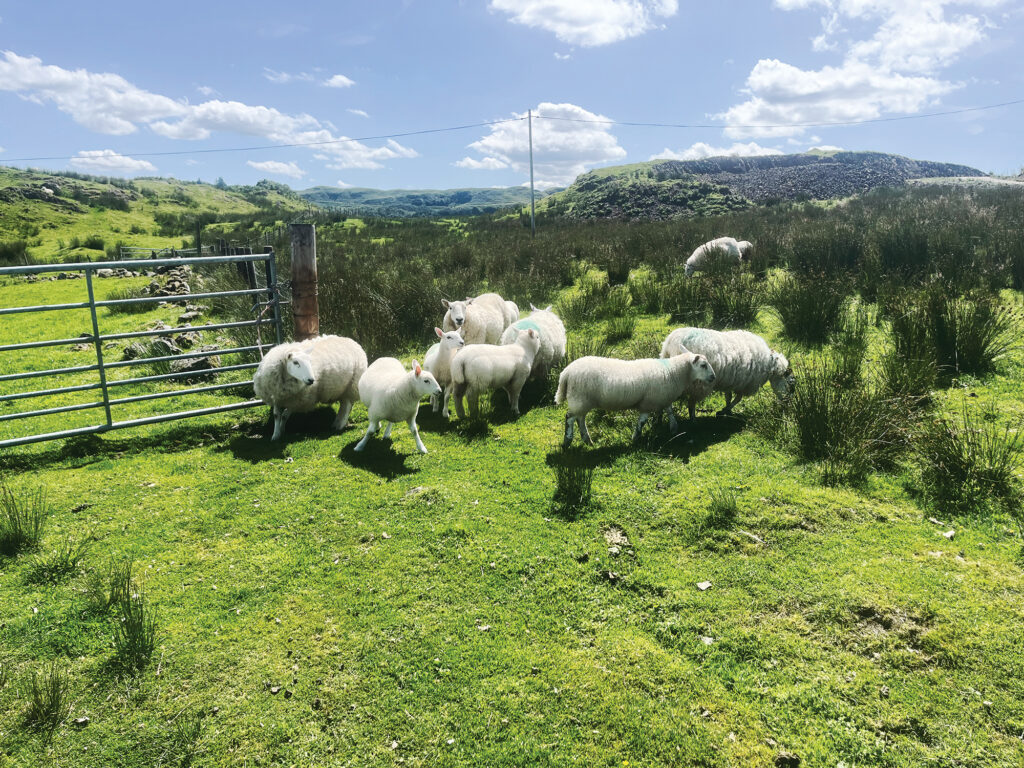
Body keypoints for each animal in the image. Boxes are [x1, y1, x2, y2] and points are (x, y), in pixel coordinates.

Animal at [555, 353, 716, 447]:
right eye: (703, 365)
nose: (713, 377)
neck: (673, 372)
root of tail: (566, 372)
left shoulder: (662, 398)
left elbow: (669, 411)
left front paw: (674, 428)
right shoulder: (648, 403)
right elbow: (642, 422)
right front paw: (635, 438)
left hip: (582, 401)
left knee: (580, 419)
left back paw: (587, 440)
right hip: (580, 399)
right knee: (569, 417)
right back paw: (567, 441)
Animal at [660, 327, 794, 419]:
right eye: (791, 385)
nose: (787, 405)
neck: (771, 364)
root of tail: (670, 343)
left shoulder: (731, 381)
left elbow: (728, 396)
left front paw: (727, 411)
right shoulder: (744, 383)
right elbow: (738, 399)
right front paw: (724, 411)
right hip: (696, 383)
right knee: (691, 402)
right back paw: (692, 419)